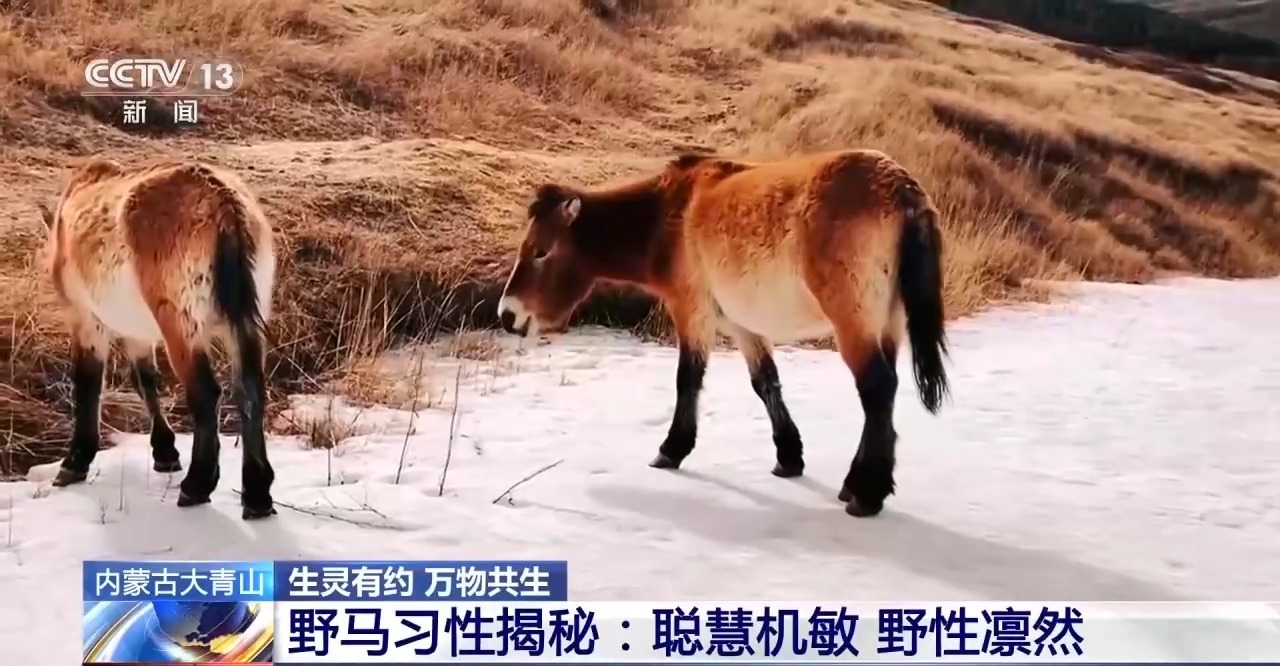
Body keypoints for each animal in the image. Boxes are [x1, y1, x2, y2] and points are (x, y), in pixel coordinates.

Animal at [35, 157, 279, 520]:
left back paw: (197, 485)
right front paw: (165, 451)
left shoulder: (86, 320)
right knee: (251, 392)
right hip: (246, 323)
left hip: (181, 324)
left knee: (206, 394)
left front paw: (76, 460)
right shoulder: (138, 333)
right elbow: (145, 381)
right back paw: (257, 494)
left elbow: (88, 384)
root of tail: (223, 203)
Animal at [496, 149, 950, 517]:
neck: (669, 214)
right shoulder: (743, 325)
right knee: (884, 397)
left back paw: (866, 493)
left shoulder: (692, 311)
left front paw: (671, 449)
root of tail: (904, 192)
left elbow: (688, 380)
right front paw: (789, 456)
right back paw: (859, 483)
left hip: (853, 322)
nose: (507, 314)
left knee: (876, 389)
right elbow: (765, 383)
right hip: (886, 322)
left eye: (540, 251)